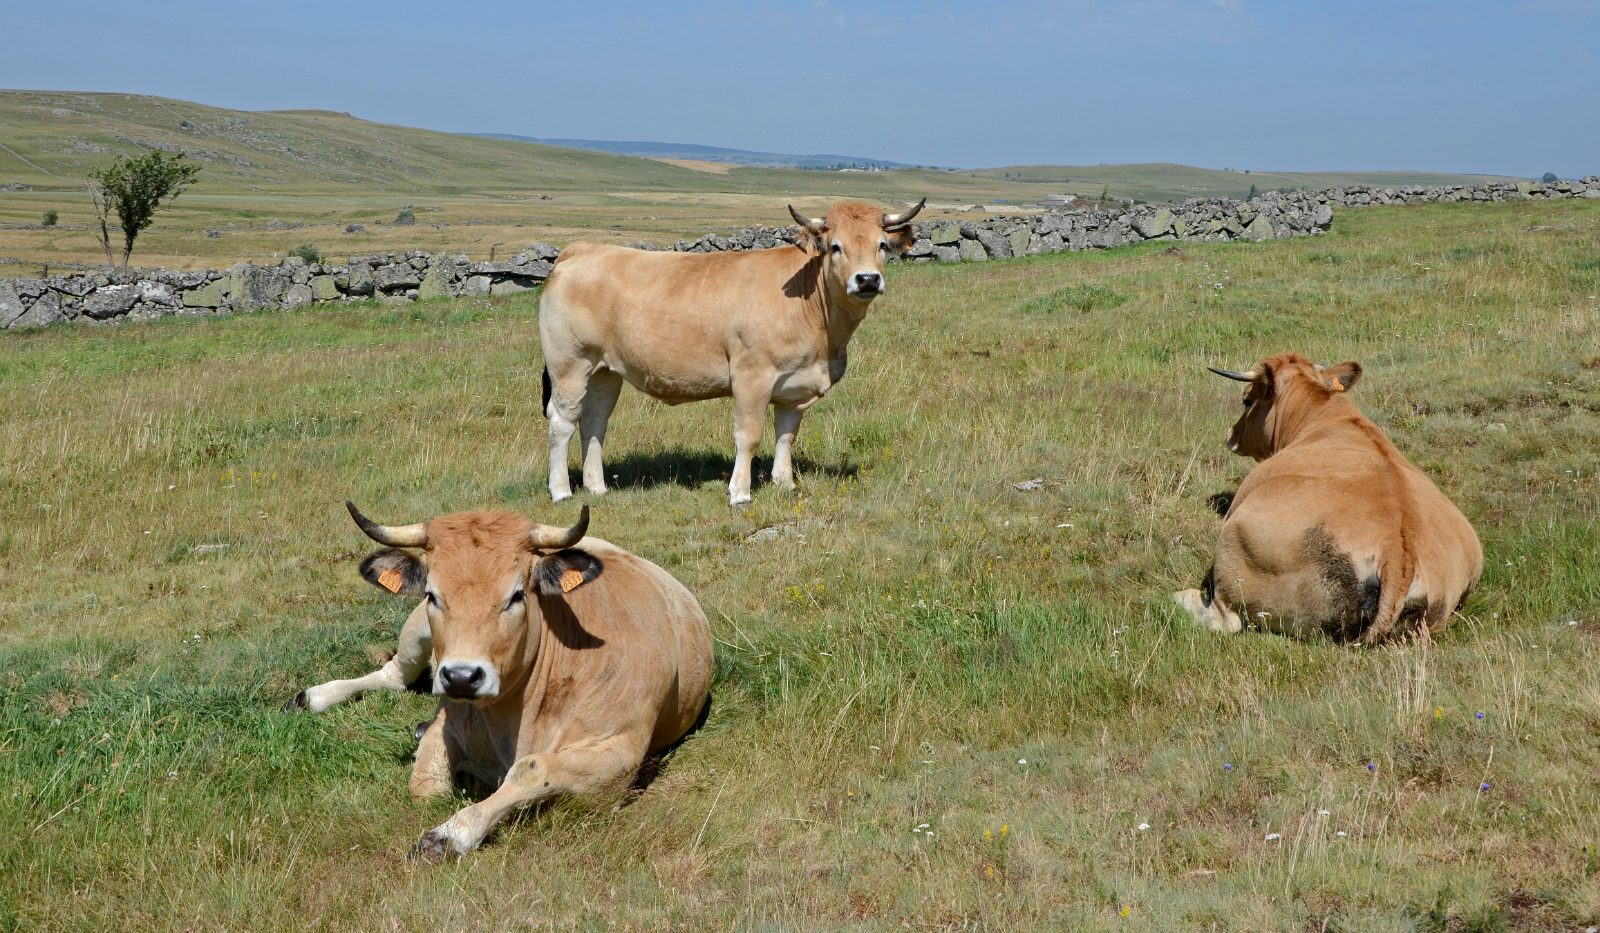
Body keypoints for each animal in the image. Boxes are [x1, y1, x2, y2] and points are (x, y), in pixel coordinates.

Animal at [286, 502, 714, 860]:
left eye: (516, 595)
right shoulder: (449, 720)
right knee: (393, 676)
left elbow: (532, 769)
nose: (461, 676)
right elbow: (426, 784)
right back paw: (315, 696)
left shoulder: (619, 753)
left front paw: (452, 833)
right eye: (432, 594)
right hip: (415, 637)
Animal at [538, 198, 925, 506]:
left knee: (594, 421)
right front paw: (740, 492)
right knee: (563, 422)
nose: (867, 279)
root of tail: (581, 250)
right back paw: (561, 491)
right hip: (570, 364)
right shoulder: (751, 376)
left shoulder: (793, 385)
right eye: (835, 247)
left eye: (881, 245)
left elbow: (787, 434)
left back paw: (597, 487)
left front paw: (784, 483)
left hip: (605, 370)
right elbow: (749, 435)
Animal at [1174, 352, 1482, 644]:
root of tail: (1395, 553)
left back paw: (1180, 598)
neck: (1325, 414)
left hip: (1235, 549)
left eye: (1247, 400)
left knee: (1225, 619)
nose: (1231, 435)